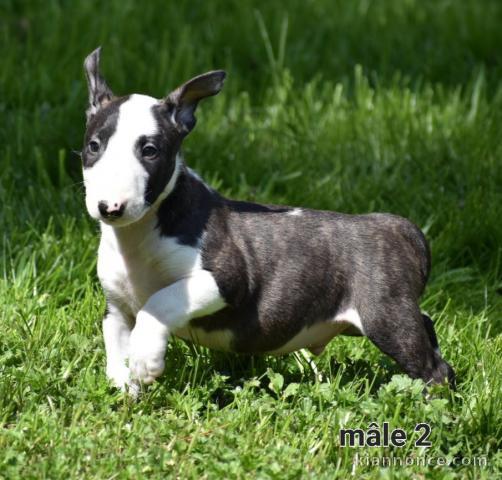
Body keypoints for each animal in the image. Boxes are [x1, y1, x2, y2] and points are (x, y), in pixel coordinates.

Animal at [81, 47, 454, 394]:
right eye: (94, 146)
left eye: (150, 151)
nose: (110, 207)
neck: (138, 235)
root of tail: (397, 226)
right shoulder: (117, 308)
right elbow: (115, 344)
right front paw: (126, 391)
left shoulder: (227, 279)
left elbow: (160, 301)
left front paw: (145, 360)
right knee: (427, 328)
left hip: (385, 313)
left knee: (432, 367)